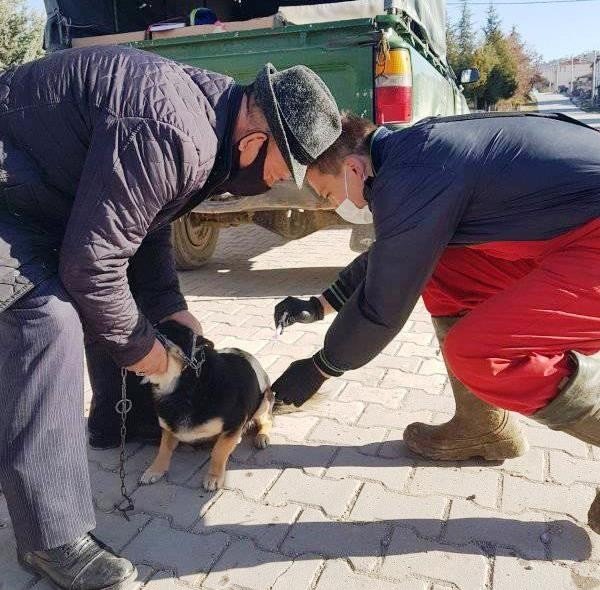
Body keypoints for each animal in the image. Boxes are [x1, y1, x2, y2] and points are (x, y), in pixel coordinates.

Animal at [137, 322, 274, 492]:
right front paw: (154, 470)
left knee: (268, 420)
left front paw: (214, 477)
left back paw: (262, 436)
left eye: (161, 334)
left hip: (264, 401)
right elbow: (163, 449)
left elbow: (218, 451)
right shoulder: (169, 429)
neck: (182, 387)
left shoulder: (234, 424)